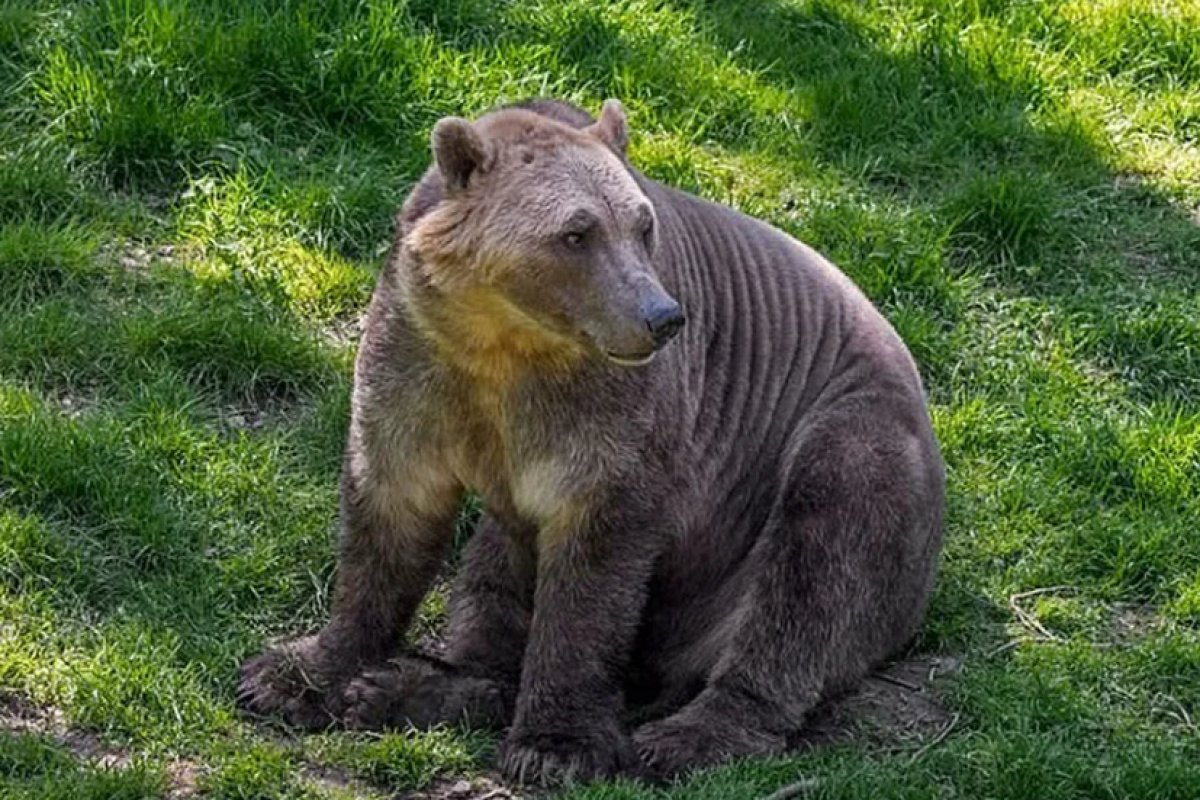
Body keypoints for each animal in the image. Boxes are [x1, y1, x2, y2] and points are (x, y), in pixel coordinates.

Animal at [238, 98, 945, 786]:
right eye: (576, 233)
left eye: (642, 226)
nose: (662, 317)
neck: (503, 340)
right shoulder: (419, 359)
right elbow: (389, 506)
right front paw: (292, 675)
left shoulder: (615, 418)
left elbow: (595, 566)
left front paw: (556, 745)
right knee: (493, 573)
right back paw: (406, 689)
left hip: (846, 442)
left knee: (815, 566)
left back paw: (689, 736)